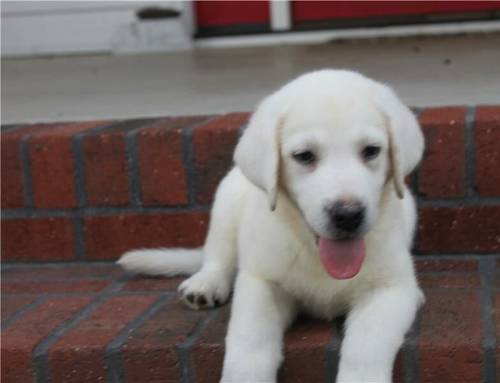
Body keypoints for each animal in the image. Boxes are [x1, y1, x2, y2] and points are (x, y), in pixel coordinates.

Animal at [118, 70, 426, 383]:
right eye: (304, 156)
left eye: (371, 151)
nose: (348, 215)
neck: (314, 253)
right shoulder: (261, 282)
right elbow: (250, 343)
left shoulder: (388, 290)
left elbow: (365, 348)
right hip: (227, 201)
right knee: (217, 256)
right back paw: (205, 283)